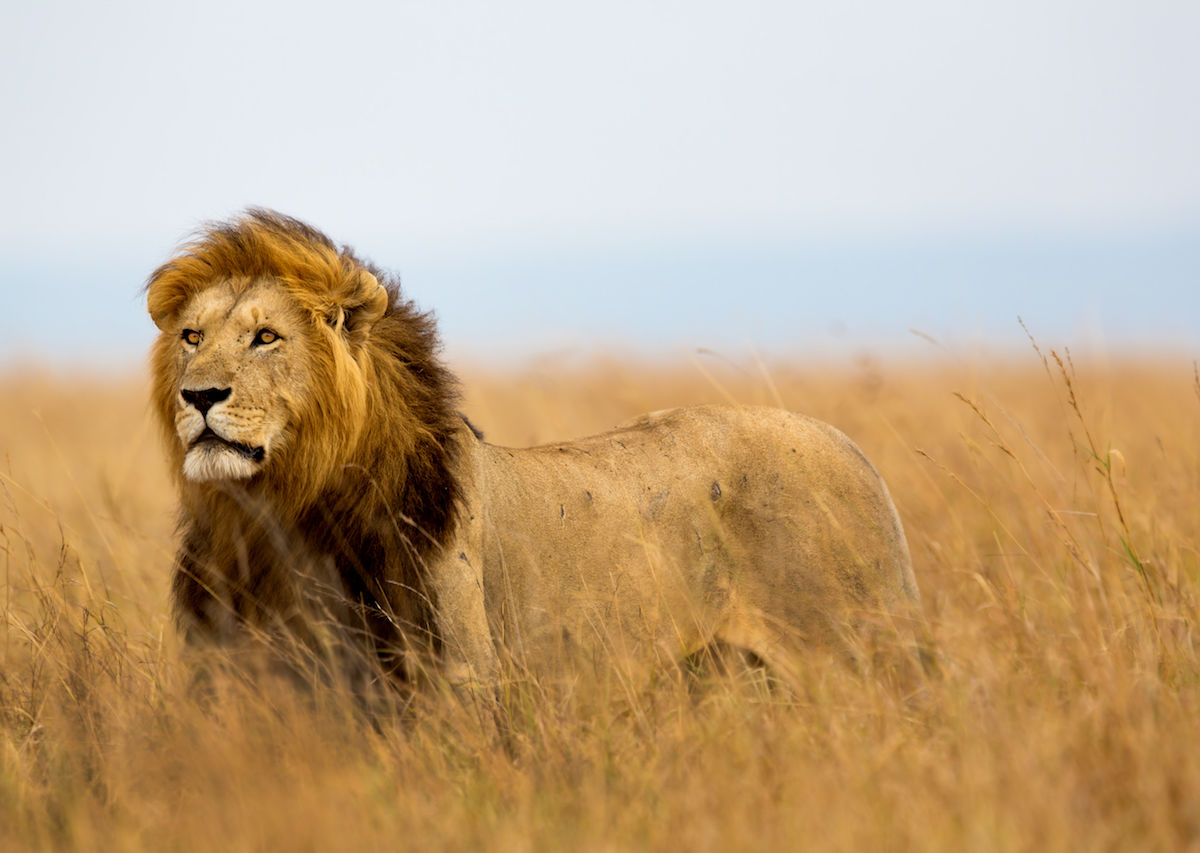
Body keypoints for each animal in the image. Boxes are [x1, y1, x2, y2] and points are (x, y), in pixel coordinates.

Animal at [146, 209, 922, 698]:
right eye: (191, 336)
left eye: (265, 337)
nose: (199, 395)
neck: (277, 513)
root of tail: (854, 450)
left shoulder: (455, 682)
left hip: (861, 658)